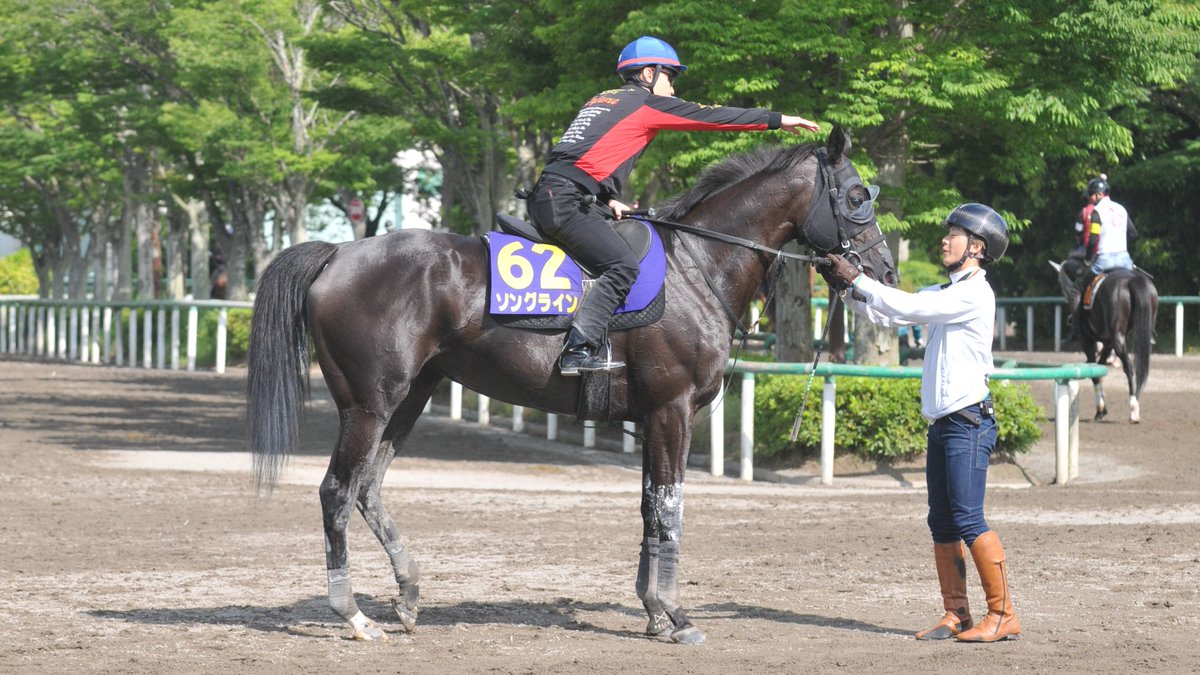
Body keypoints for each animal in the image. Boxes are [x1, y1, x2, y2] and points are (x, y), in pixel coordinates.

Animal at [246, 127, 898, 644]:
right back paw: (353, 614)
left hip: (409, 398)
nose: (885, 272)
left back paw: (407, 595)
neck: (696, 268)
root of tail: (339, 252)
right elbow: (671, 506)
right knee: (336, 492)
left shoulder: (651, 418)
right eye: (857, 196)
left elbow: (649, 507)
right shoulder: (673, 411)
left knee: (367, 490)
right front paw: (676, 614)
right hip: (369, 404)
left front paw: (653, 612)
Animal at [1050, 254, 1158, 423]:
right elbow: (1099, 369)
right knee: (1140, 368)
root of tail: (1132, 280)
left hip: (1117, 337)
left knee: (1129, 367)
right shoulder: (1108, 343)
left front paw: (1100, 409)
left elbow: (1094, 372)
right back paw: (1136, 402)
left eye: (1060, 282)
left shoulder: (1087, 341)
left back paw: (1133, 409)